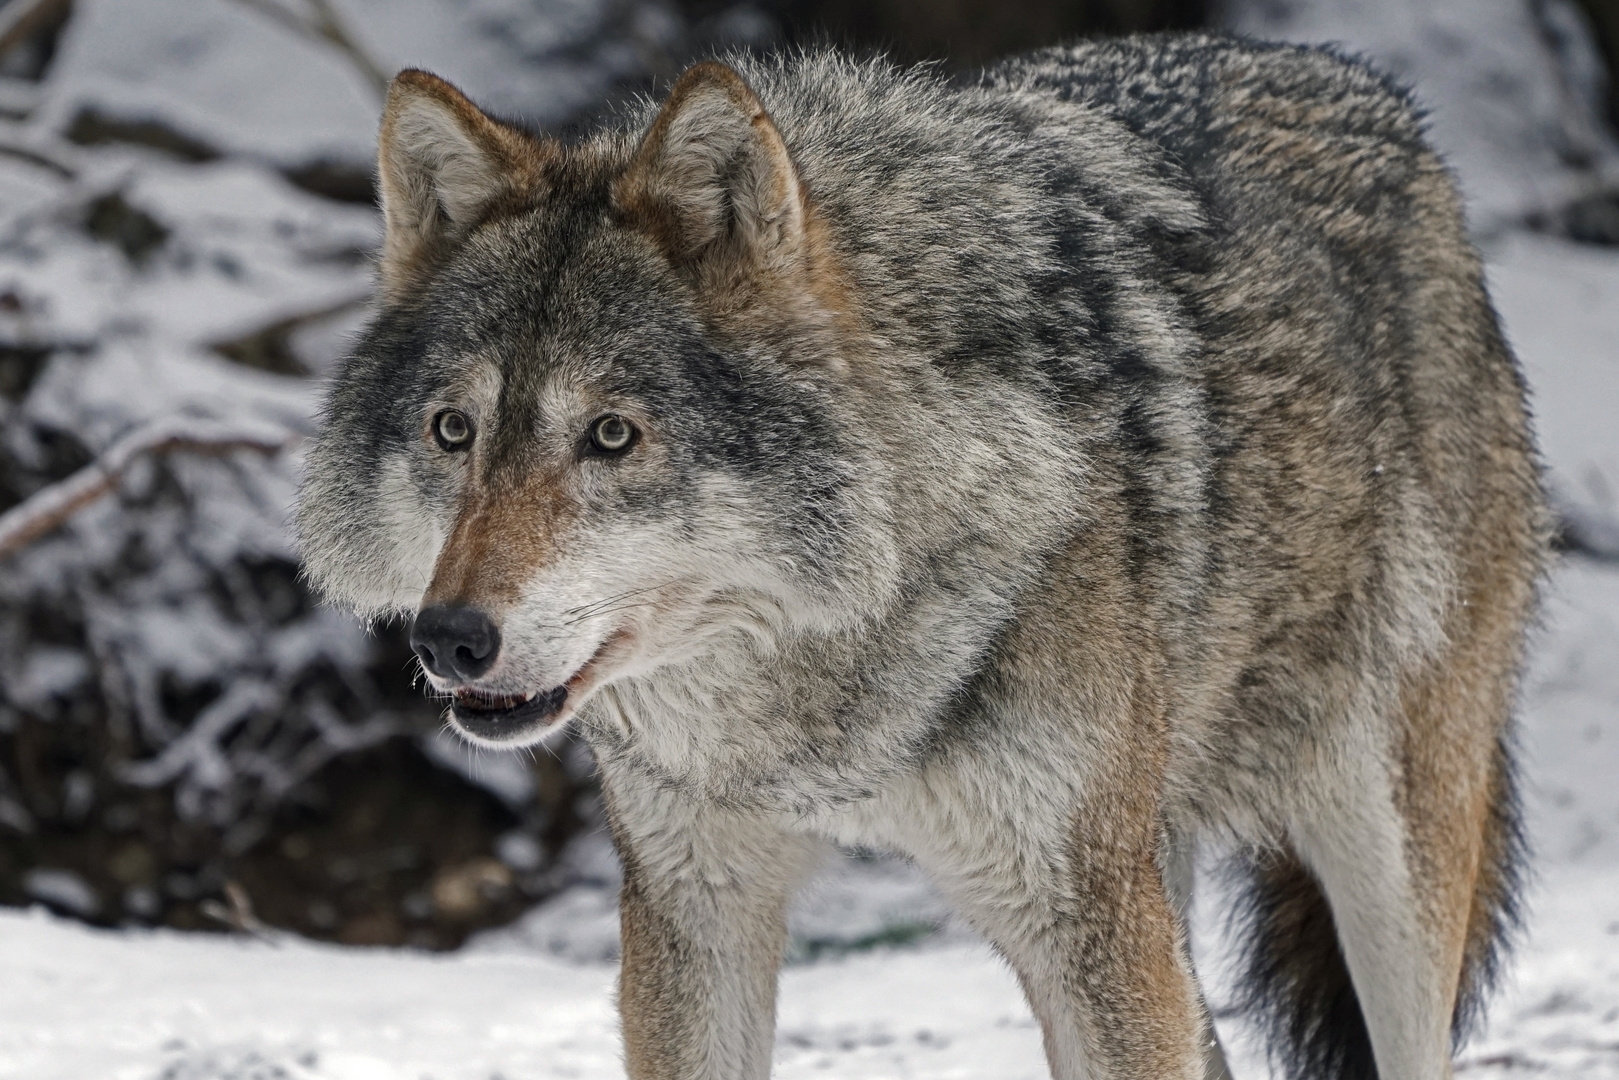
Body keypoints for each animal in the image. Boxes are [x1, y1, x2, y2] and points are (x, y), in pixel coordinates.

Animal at [297, 33, 1547, 1080]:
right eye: (452, 432)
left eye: (610, 436)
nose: (449, 640)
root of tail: (1363, 88)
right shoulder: (693, 910)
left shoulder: (1085, 925)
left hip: (1376, 858)